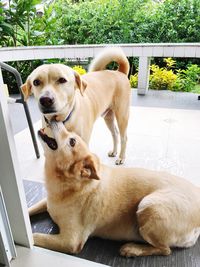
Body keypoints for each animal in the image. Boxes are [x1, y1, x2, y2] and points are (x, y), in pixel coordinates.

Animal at [29, 122, 200, 258]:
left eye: (72, 141)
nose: (55, 119)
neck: (67, 185)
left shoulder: (71, 241)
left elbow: (35, 236)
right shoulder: (46, 201)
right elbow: (29, 210)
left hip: (149, 205)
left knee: (165, 250)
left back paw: (132, 249)